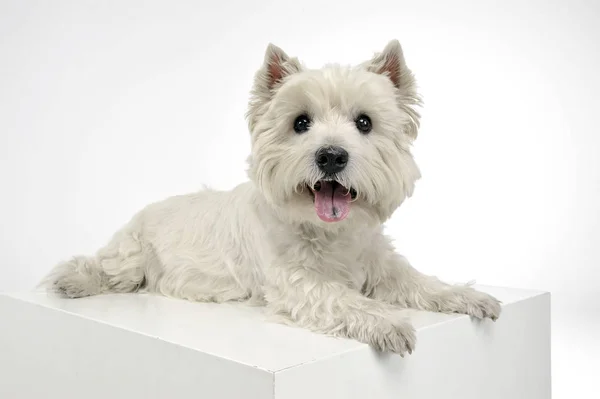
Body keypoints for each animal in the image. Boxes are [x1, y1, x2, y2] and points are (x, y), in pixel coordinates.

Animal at [39, 39, 502, 356]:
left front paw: (470, 297)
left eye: (364, 122)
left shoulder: (381, 264)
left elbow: (420, 281)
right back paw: (70, 281)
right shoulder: (294, 282)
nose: (331, 155)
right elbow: (341, 297)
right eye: (300, 123)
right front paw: (388, 323)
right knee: (106, 266)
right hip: (133, 252)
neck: (332, 234)